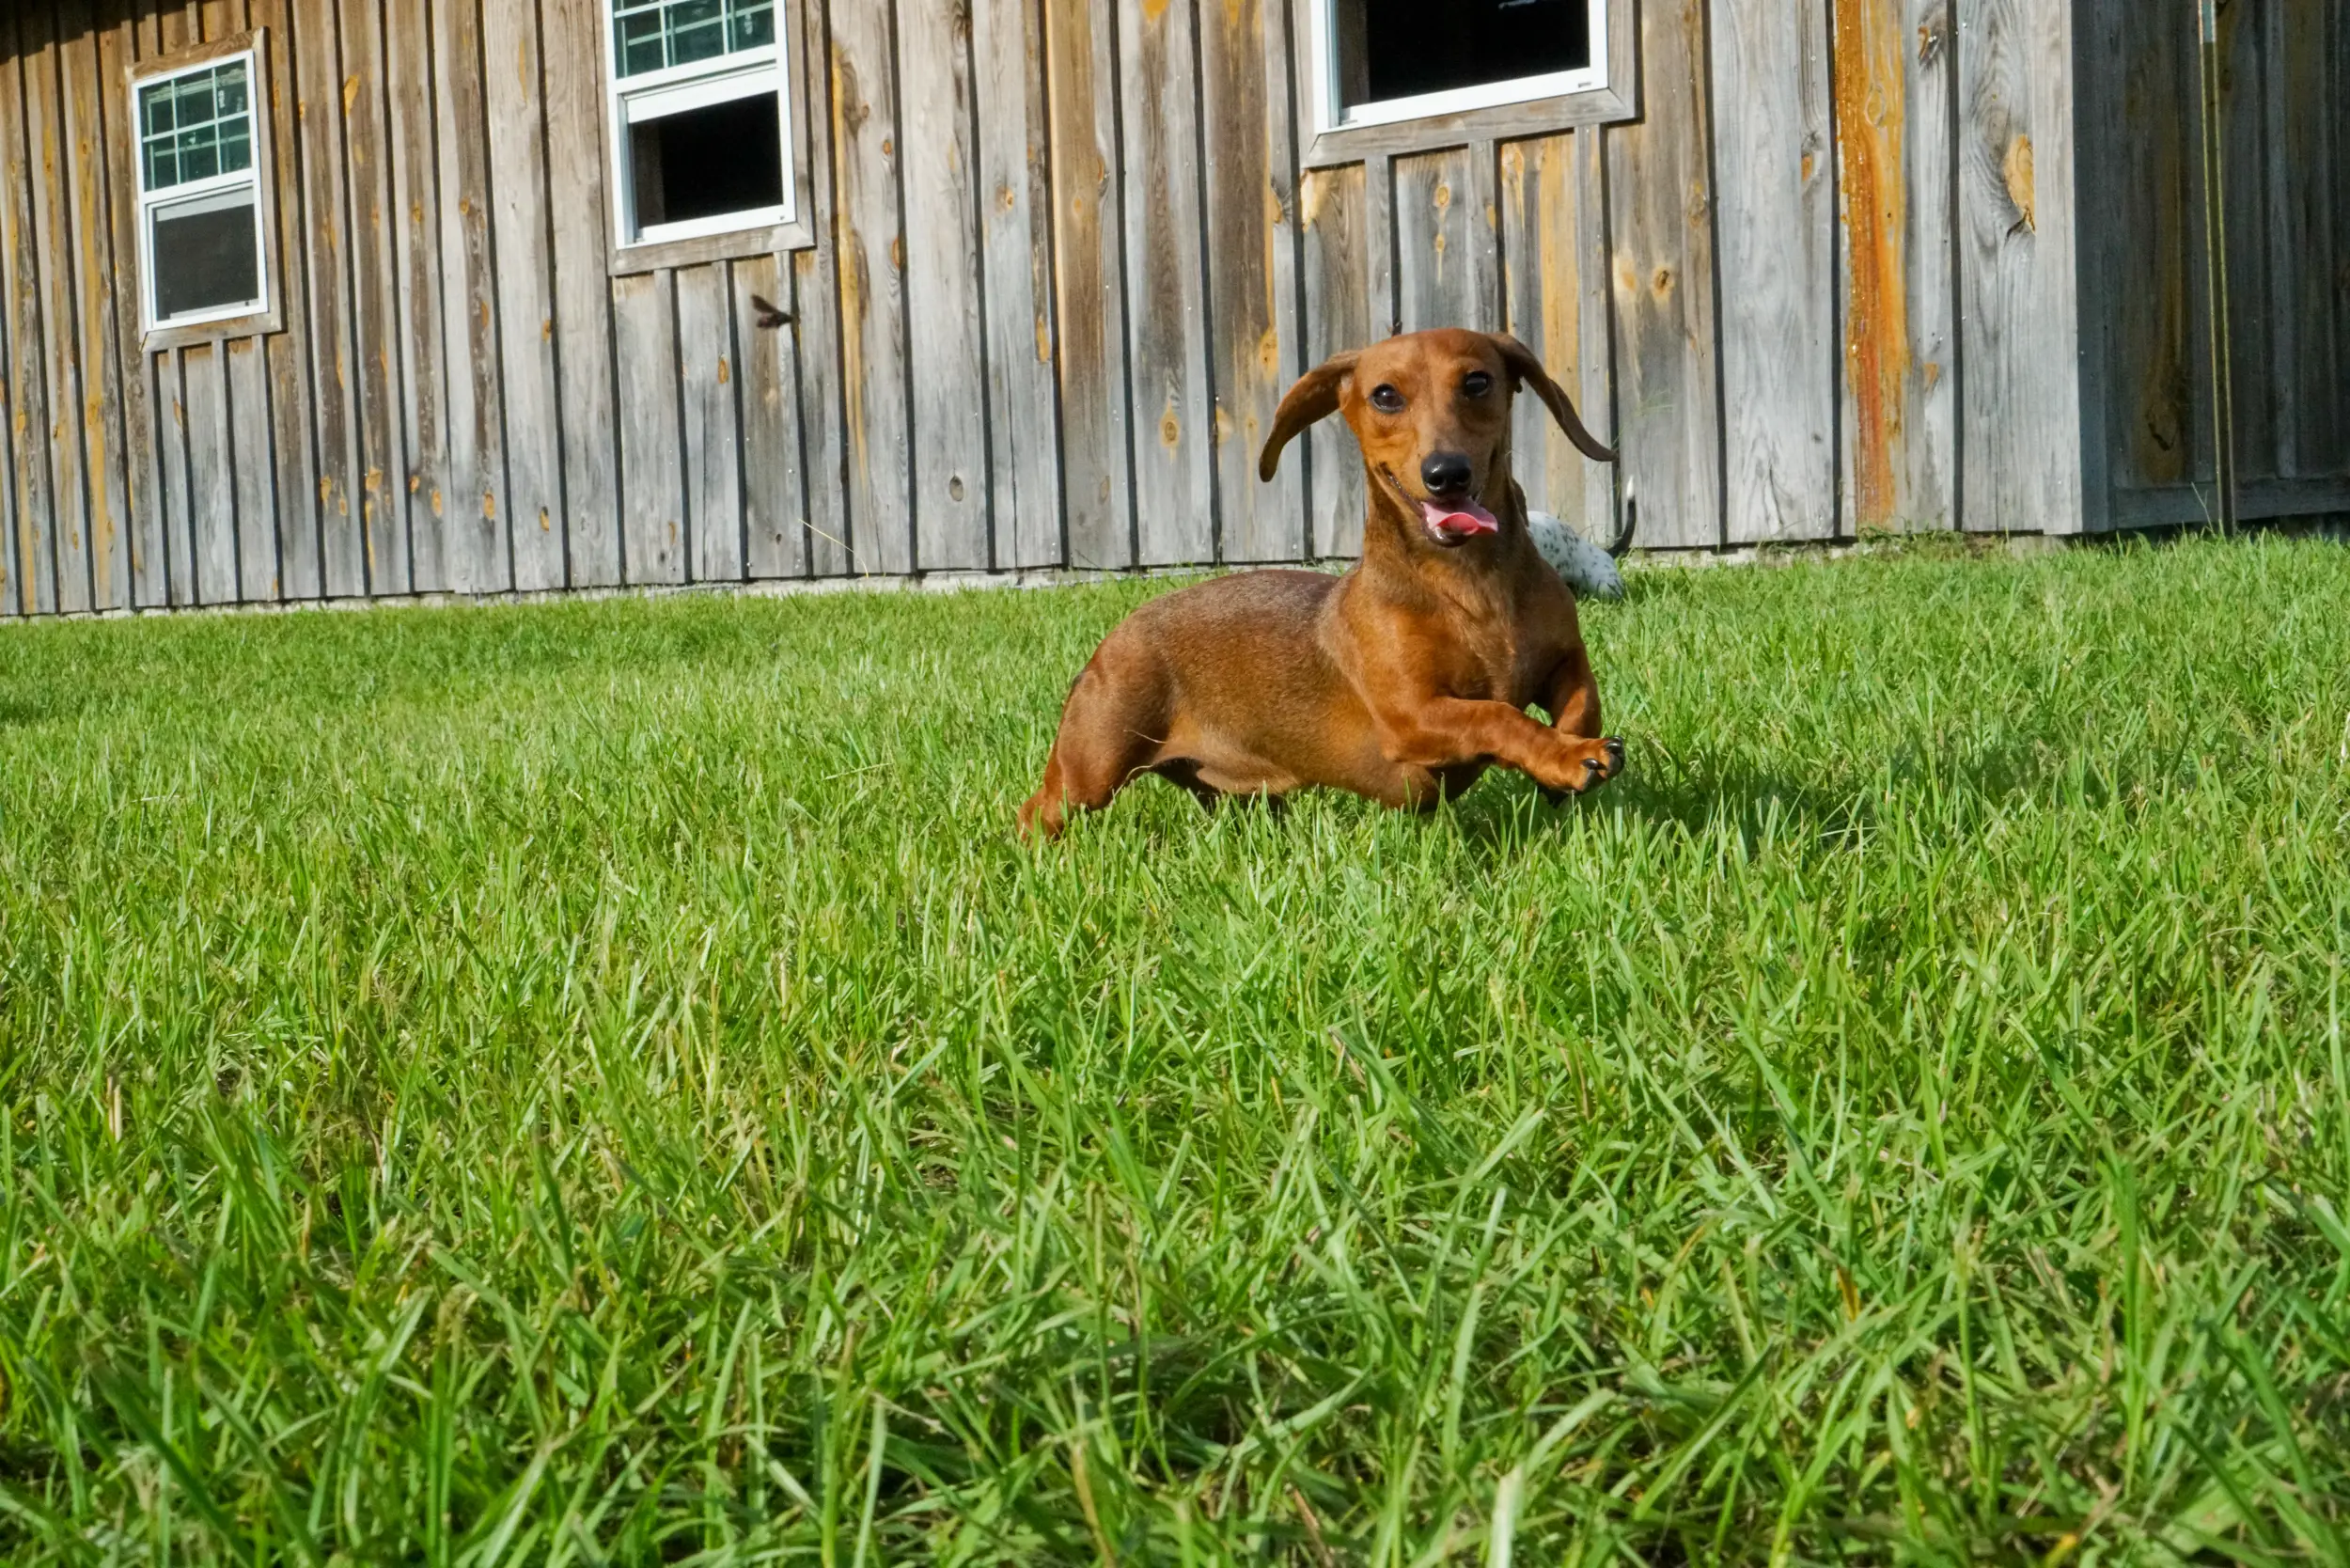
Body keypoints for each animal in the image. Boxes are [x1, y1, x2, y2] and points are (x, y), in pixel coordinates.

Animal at [1020, 329, 1626, 841]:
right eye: (1385, 396)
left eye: (1477, 381)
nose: (1446, 474)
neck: (1472, 586)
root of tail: (1113, 640)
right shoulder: (1413, 716)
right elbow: (1495, 715)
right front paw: (1566, 758)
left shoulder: (1565, 661)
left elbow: (1582, 704)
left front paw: (1569, 757)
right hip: (1091, 769)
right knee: (1040, 808)